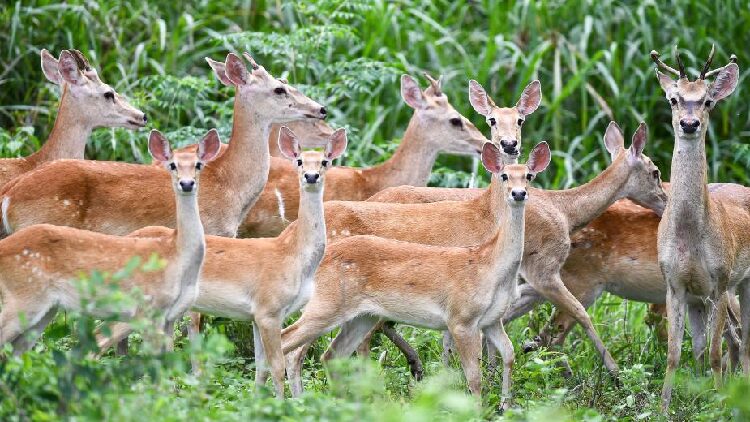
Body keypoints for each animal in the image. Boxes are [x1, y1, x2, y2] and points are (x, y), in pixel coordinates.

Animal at [0, 129, 219, 354]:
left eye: (198, 164)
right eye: (173, 165)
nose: (187, 184)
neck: (177, 255)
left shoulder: (169, 315)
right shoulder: (147, 309)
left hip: (45, 310)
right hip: (22, 298)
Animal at [102, 127, 347, 397]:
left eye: (325, 161)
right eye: (300, 160)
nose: (311, 177)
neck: (293, 254)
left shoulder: (256, 316)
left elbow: (260, 366)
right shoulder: (269, 310)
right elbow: (277, 365)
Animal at [281, 141, 551, 409]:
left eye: (528, 176)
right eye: (504, 176)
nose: (518, 193)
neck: (492, 266)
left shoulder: (492, 319)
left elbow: (509, 354)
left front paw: (505, 406)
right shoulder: (461, 318)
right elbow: (474, 377)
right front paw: (475, 410)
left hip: (362, 316)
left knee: (331, 355)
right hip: (326, 304)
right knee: (288, 344)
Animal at [650, 46, 746, 410]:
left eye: (707, 101)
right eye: (674, 99)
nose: (689, 124)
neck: (690, 237)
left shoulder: (719, 280)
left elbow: (716, 352)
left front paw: (720, 404)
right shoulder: (675, 283)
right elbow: (677, 352)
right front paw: (664, 405)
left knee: (740, 337)